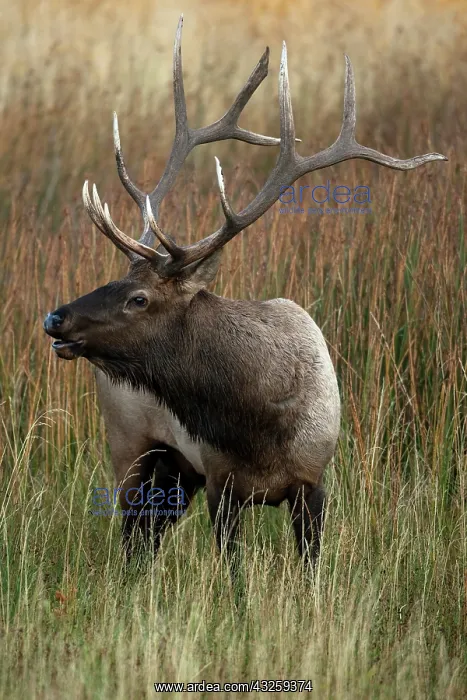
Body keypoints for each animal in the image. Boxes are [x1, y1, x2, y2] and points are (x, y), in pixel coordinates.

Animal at [43, 16, 447, 573]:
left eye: (139, 298)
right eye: (115, 283)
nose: (55, 318)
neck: (259, 420)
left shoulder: (312, 482)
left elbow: (309, 569)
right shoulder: (220, 481)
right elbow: (232, 576)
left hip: (174, 471)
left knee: (147, 536)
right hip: (130, 446)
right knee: (132, 537)